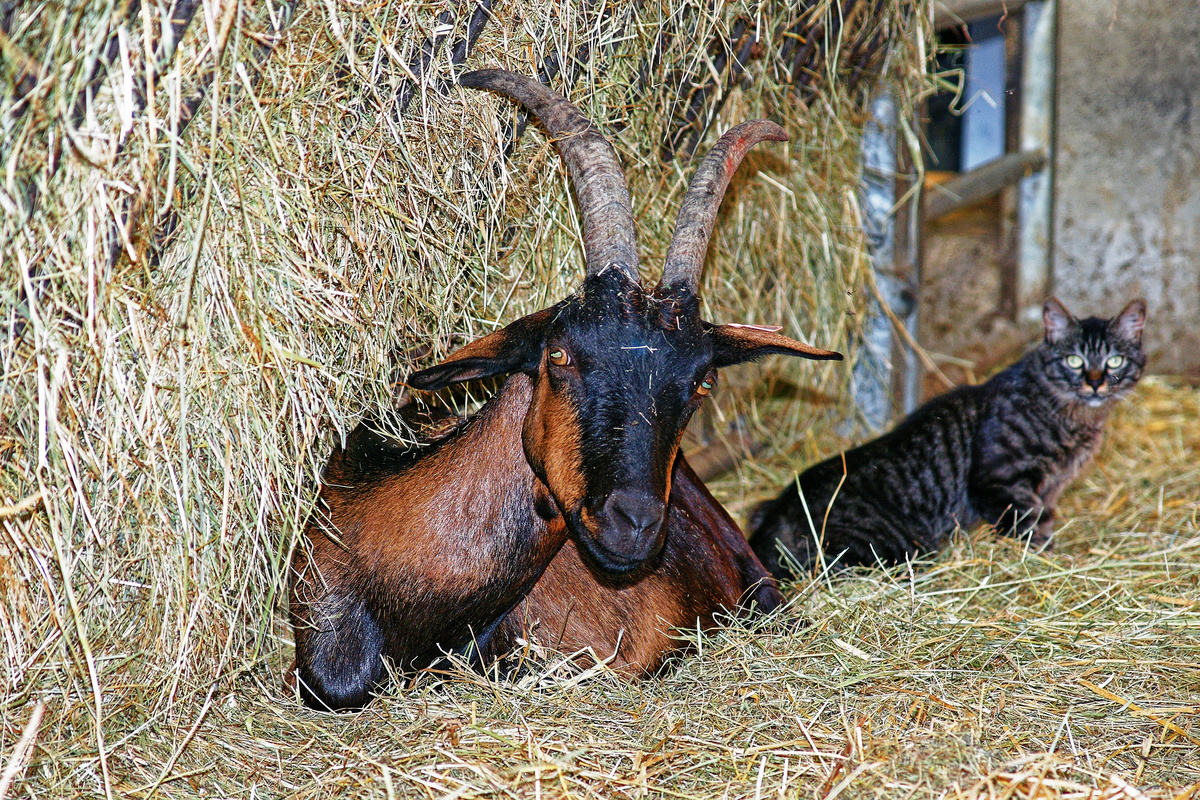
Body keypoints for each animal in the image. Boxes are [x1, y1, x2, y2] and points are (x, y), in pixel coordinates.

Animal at [744, 296, 1147, 575]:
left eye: (1114, 361)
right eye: (1073, 361)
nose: (1094, 383)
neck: (1073, 416)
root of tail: (777, 515)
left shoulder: (1048, 488)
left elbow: (1043, 520)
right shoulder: (999, 481)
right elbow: (1028, 528)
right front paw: (1044, 560)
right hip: (896, 548)